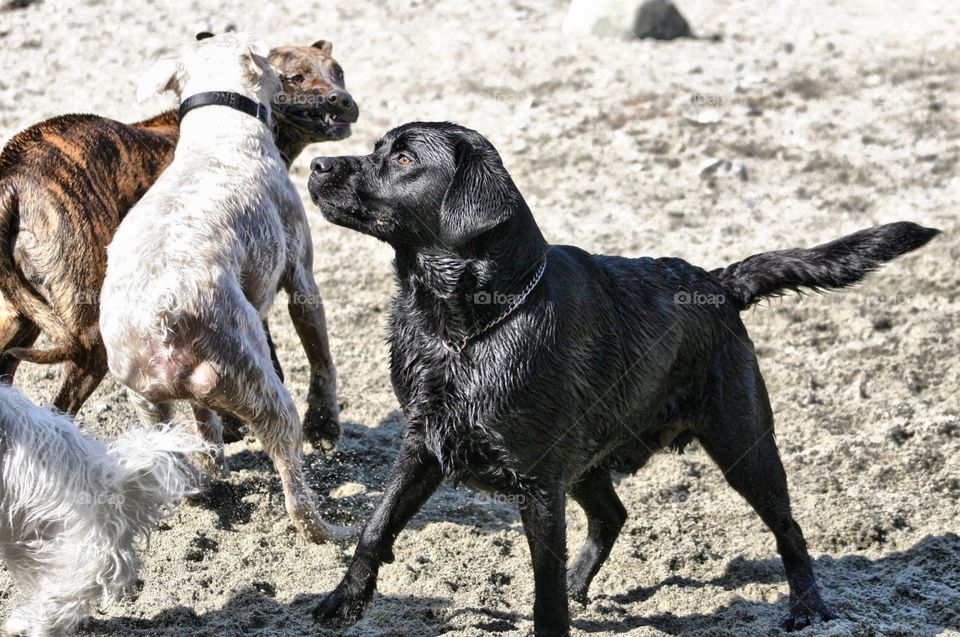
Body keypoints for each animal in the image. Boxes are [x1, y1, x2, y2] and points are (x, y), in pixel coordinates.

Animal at [0, 41, 356, 448]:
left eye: (338, 71)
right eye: (294, 77)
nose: (342, 99)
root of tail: (12, 177)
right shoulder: (294, 276)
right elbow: (318, 355)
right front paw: (321, 423)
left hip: (23, 317)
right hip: (89, 339)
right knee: (61, 408)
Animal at [100, 32, 342, 540]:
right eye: (275, 62)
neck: (219, 131)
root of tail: (163, 320)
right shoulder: (301, 274)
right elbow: (321, 354)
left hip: (149, 403)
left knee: (192, 450)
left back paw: (204, 486)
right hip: (260, 385)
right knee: (293, 486)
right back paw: (330, 533)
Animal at [308, 121, 936, 632]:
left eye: (404, 158)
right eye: (377, 147)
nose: (318, 165)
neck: (465, 330)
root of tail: (717, 281)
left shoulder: (540, 484)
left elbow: (544, 596)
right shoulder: (423, 443)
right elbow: (376, 525)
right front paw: (343, 602)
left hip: (743, 444)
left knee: (789, 528)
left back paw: (809, 608)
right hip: (593, 450)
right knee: (613, 516)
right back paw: (582, 585)